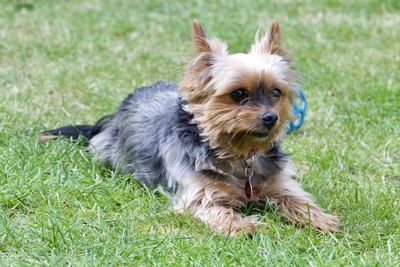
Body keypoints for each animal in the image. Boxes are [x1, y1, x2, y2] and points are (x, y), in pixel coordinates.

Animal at [41, 19, 340, 236]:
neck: (239, 156)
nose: (270, 118)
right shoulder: (199, 195)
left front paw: (320, 219)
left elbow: (297, 199)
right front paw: (244, 225)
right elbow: (219, 211)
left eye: (276, 92)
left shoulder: (279, 183)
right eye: (238, 94)